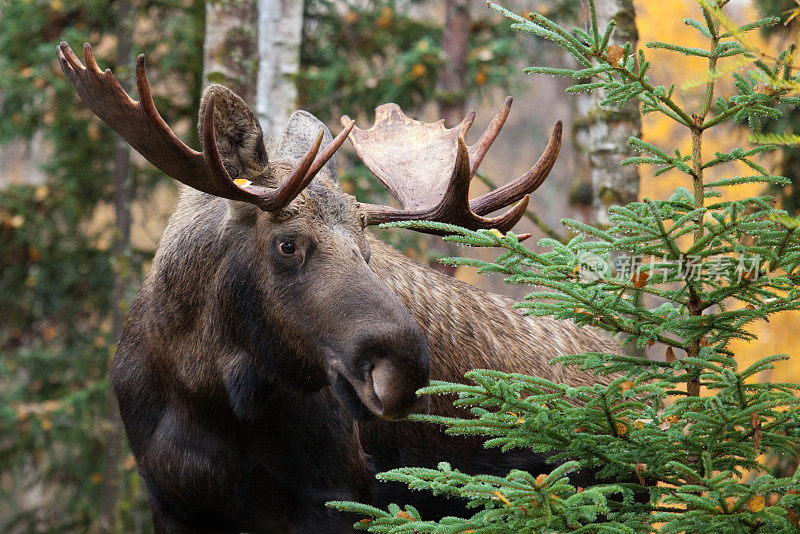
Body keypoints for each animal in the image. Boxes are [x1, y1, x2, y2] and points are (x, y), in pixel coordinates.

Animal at [57, 43, 620, 534]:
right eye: (287, 244)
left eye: (367, 251)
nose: (404, 367)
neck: (204, 393)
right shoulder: (173, 504)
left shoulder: (337, 496)